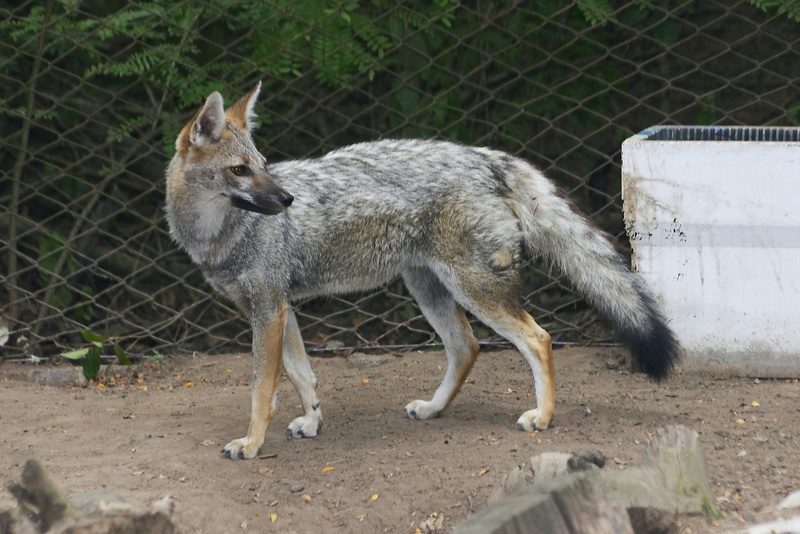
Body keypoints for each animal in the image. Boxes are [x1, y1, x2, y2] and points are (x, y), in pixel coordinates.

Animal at [166, 82, 680, 460]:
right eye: (240, 170)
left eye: (263, 166)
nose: (288, 200)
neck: (219, 237)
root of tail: (483, 155)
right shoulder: (278, 309)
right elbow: (301, 376)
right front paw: (312, 421)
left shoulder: (268, 312)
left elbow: (261, 390)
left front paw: (251, 443)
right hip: (429, 290)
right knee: (467, 347)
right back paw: (434, 409)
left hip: (474, 291)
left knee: (539, 338)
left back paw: (544, 416)